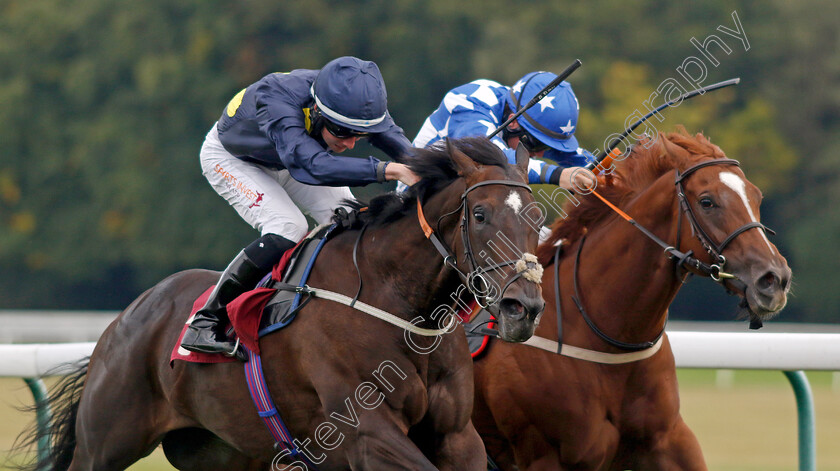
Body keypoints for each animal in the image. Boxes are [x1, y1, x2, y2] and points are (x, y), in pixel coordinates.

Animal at [23, 138, 544, 470]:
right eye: (480, 215)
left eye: (537, 219)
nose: (523, 307)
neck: (401, 307)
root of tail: (127, 318)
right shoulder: (367, 433)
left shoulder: (456, 436)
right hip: (106, 442)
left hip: (223, 452)